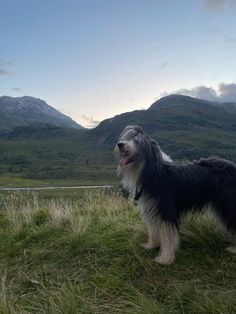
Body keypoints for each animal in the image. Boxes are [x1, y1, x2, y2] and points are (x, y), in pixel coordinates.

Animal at [115, 125, 236, 264]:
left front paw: (165, 258)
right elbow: (154, 229)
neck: (154, 173)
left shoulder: (166, 210)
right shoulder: (153, 209)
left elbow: (168, 236)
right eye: (127, 137)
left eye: (137, 141)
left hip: (228, 204)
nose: (120, 144)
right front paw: (152, 245)